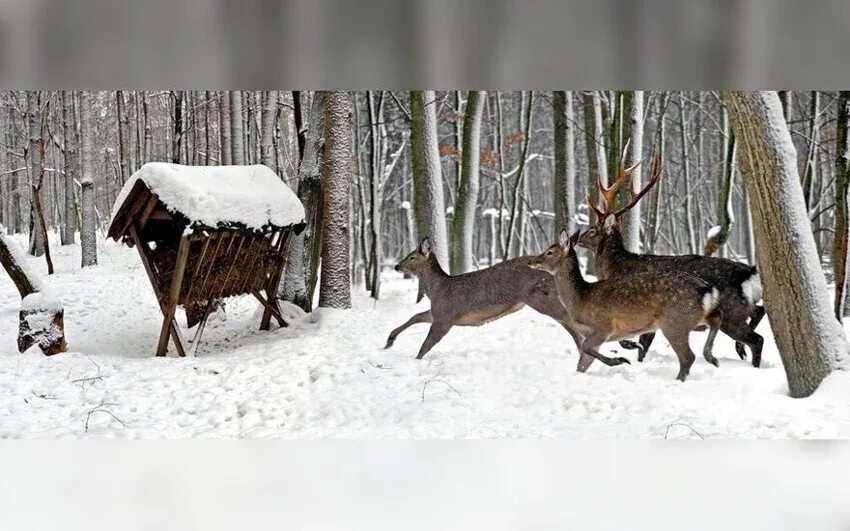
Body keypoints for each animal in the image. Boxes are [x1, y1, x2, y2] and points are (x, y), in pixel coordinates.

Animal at [384, 237, 628, 370]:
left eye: (411, 257)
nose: (397, 266)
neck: (436, 291)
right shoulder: (438, 312)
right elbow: (415, 316)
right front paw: (389, 341)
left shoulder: (445, 317)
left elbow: (426, 345)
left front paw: (414, 360)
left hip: (540, 297)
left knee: (572, 321)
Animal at [528, 230, 720, 382]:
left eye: (549, 252)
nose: (531, 261)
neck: (580, 298)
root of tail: (707, 290)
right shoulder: (592, 334)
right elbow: (582, 364)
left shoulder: (602, 327)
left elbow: (585, 348)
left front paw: (620, 360)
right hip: (692, 317)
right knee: (715, 321)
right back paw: (711, 357)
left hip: (674, 322)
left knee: (688, 357)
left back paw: (680, 379)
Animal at [576, 148, 760, 368]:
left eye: (593, 230)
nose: (577, 238)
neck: (615, 267)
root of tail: (749, 273)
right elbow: (643, 346)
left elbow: (636, 343)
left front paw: (631, 347)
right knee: (758, 318)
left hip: (733, 314)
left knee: (757, 339)